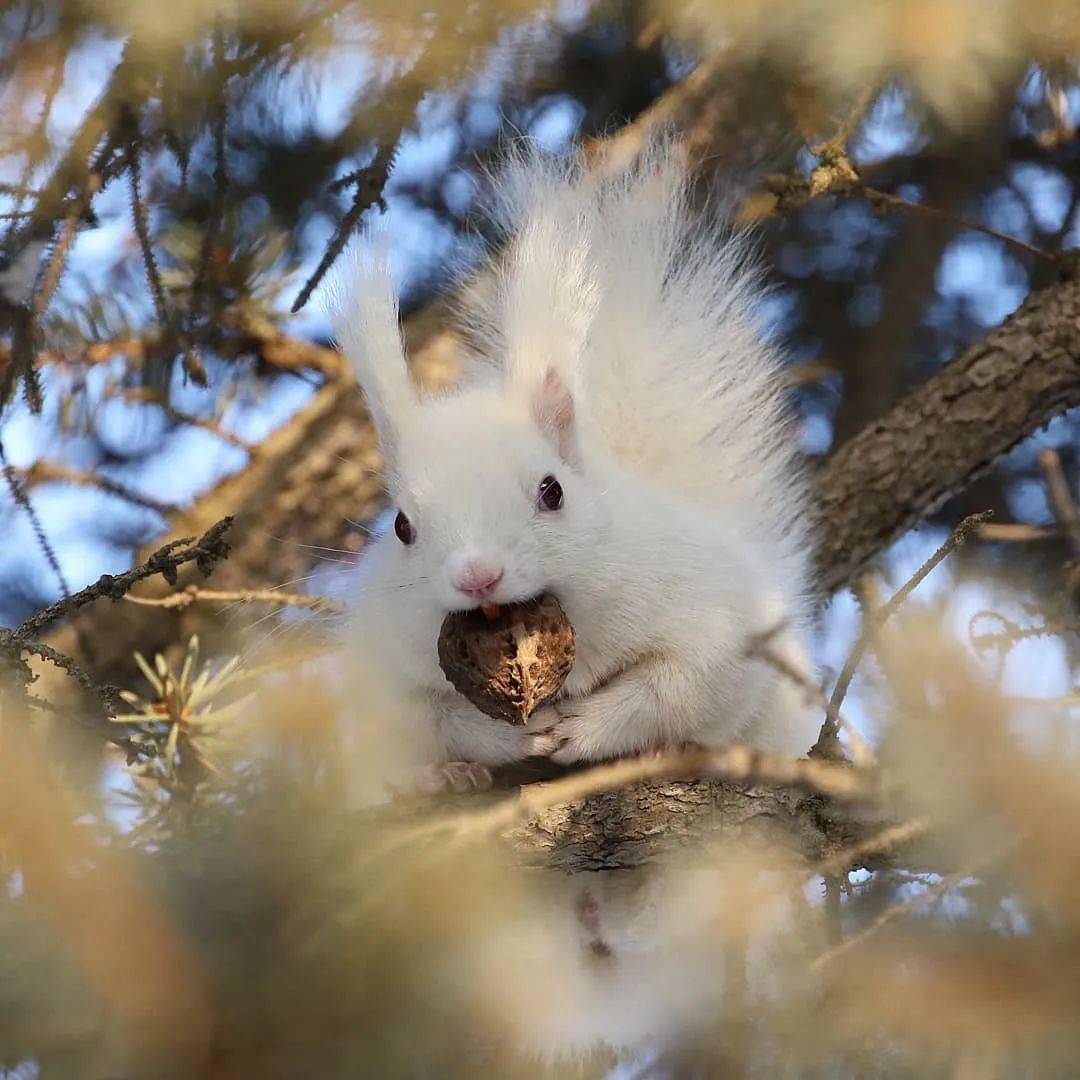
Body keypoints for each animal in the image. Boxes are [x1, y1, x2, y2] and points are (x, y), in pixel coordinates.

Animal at [332, 139, 812, 781]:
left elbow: (680, 685)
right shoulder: (384, 664)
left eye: (552, 491)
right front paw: (498, 741)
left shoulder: (713, 614)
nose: (478, 577)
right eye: (402, 526)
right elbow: (430, 717)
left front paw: (590, 727)